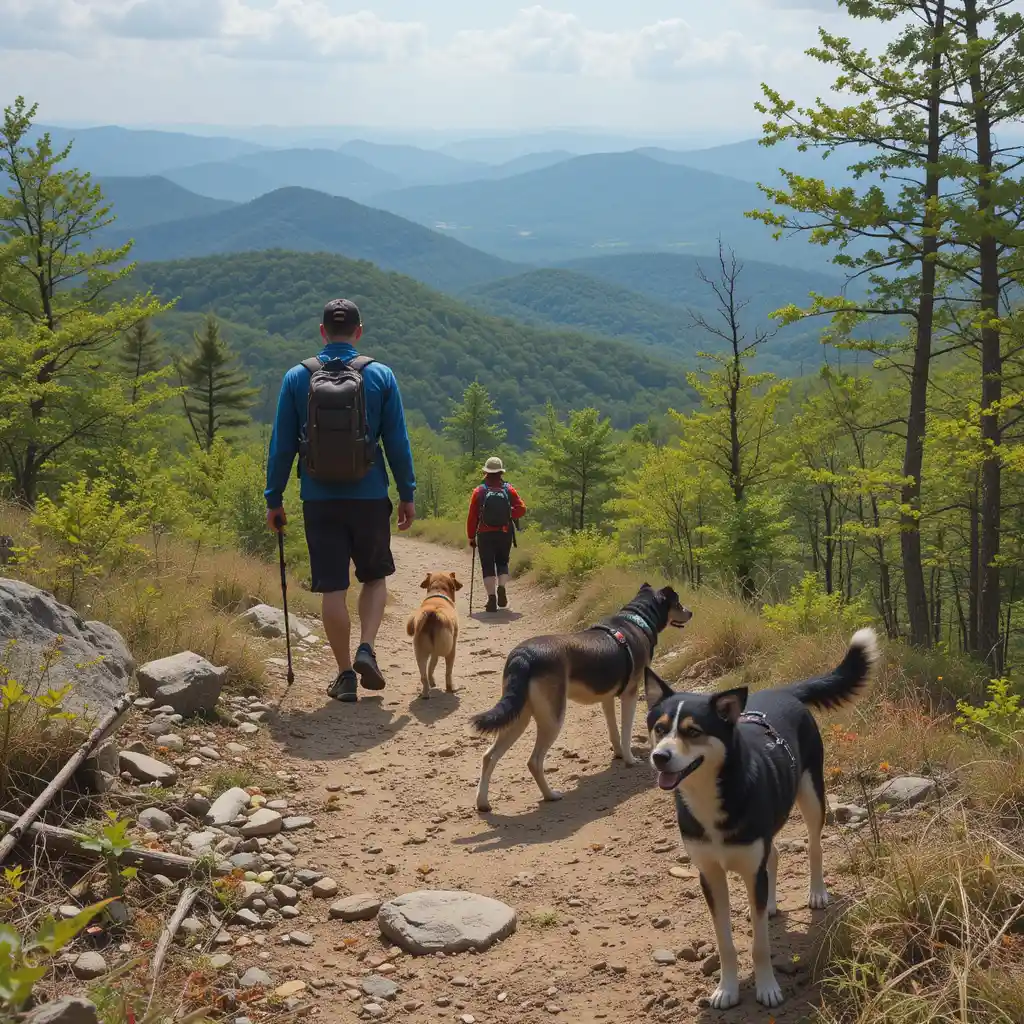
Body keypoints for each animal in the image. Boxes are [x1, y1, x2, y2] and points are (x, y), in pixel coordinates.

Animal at [643, 622, 876, 1007]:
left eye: (693, 731)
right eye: (660, 729)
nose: (659, 757)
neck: (713, 795)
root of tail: (786, 691)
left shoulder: (751, 869)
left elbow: (760, 945)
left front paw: (767, 988)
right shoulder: (710, 875)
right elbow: (725, 942)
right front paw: (726, 988)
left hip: (812, 795)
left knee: (814, 846)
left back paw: (816, 892)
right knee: (775, 856)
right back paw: (770, 906)